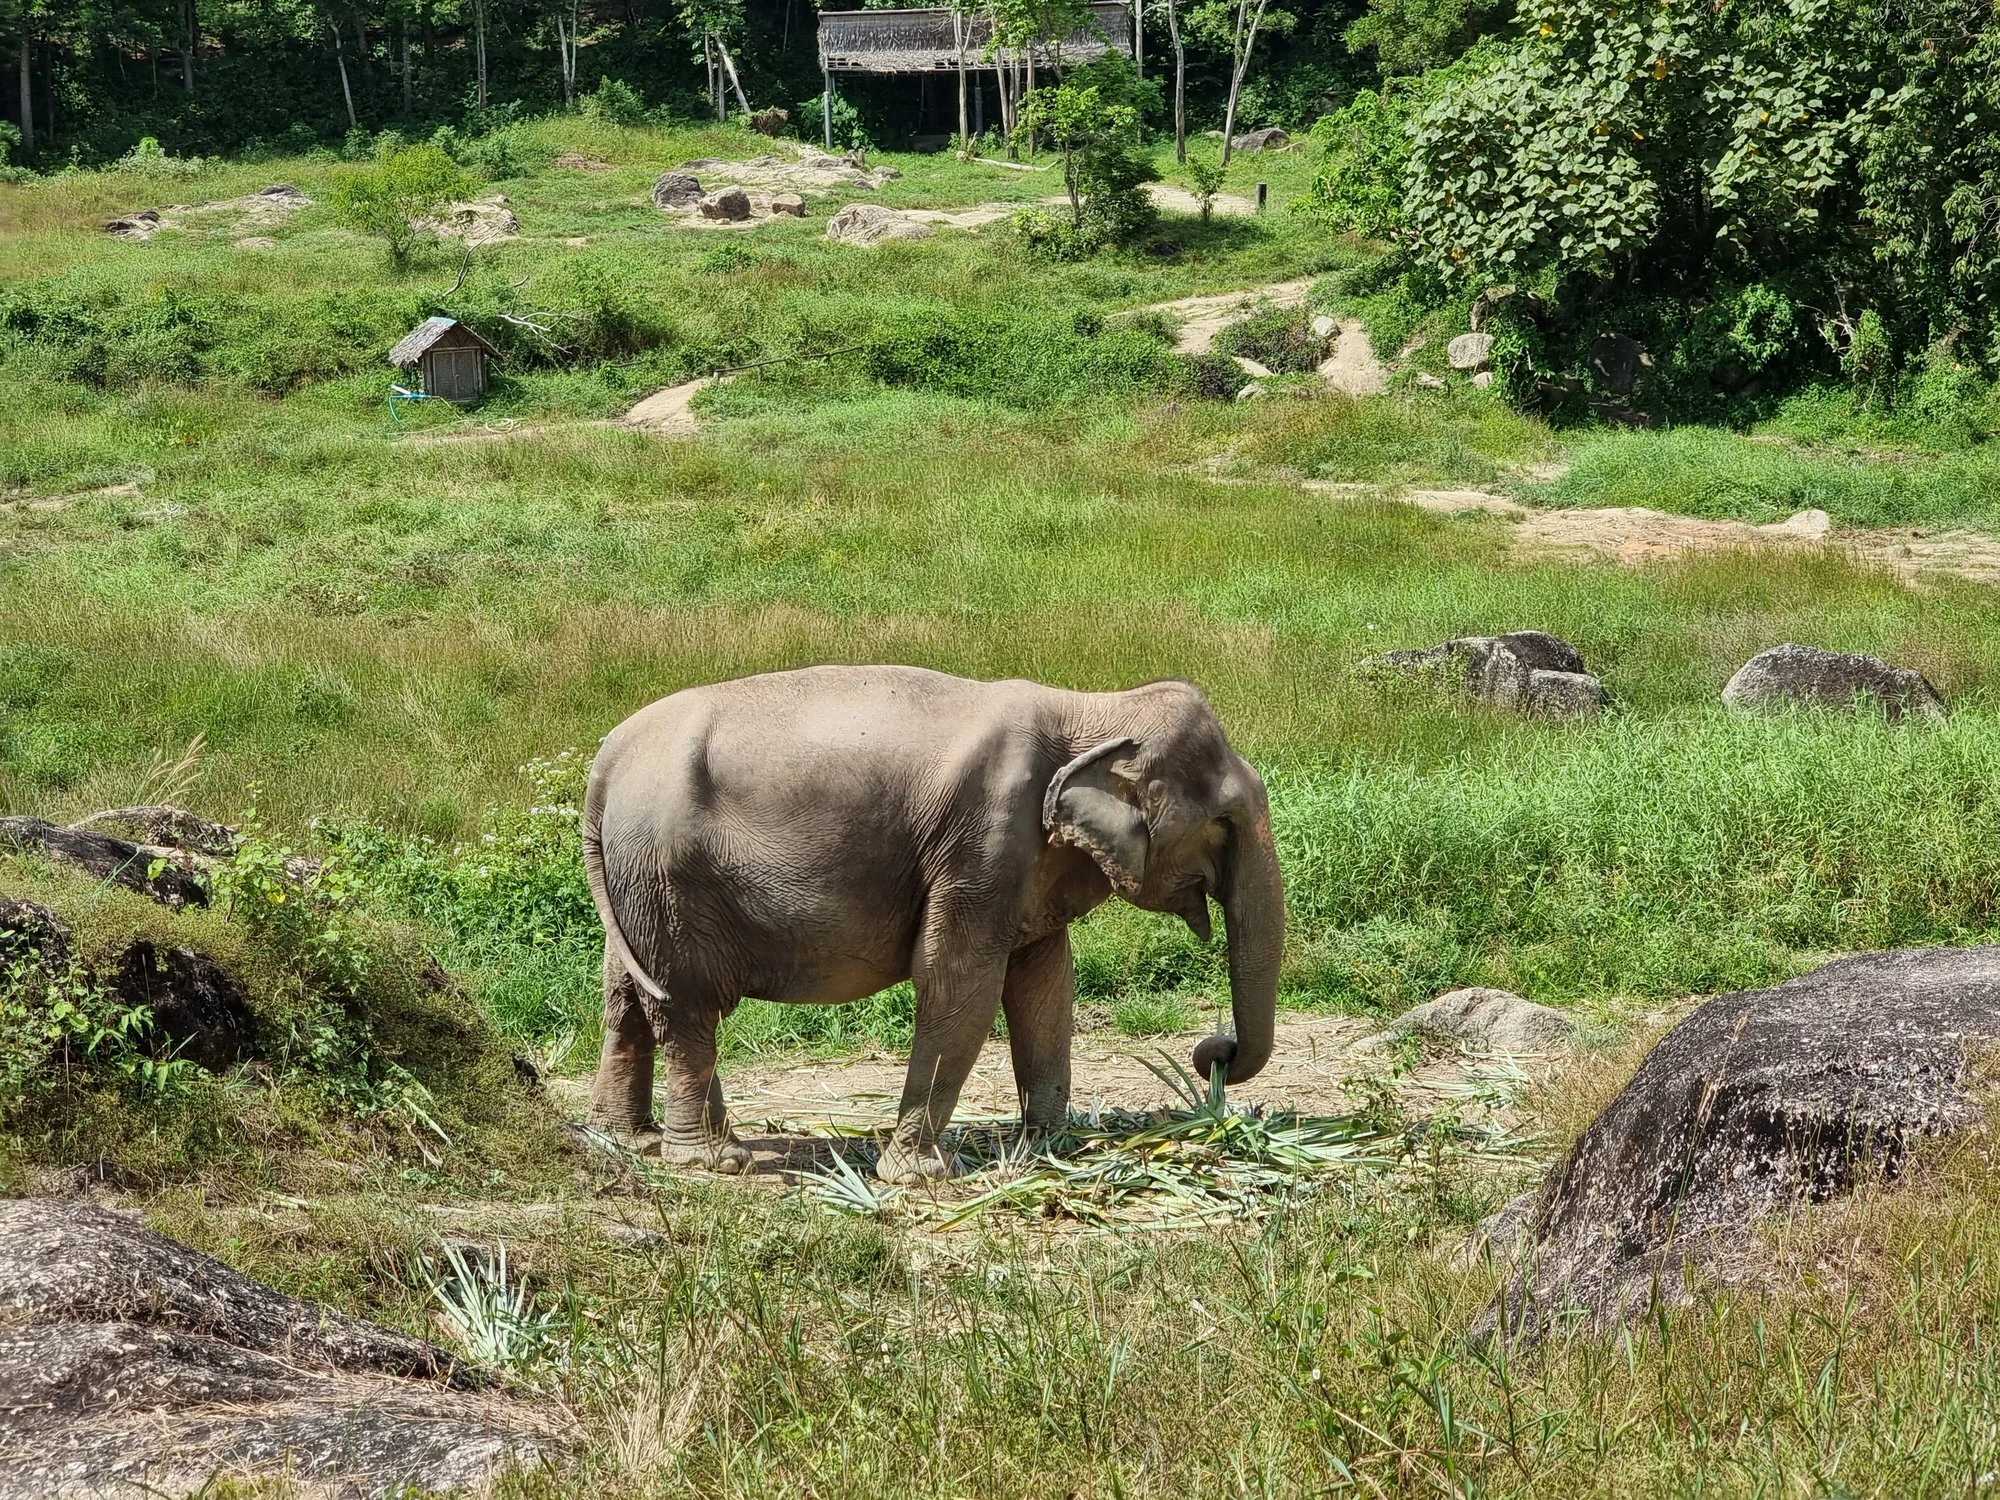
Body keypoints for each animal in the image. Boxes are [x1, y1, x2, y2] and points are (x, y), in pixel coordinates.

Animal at [582, 665, 1284, 1184]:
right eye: (1223, 820)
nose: (1212, 1053)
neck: (1091, 708)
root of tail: (607, 759)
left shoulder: (1031, 861)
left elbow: (1045, 983)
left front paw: (1057, 1148)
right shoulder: (983, 839)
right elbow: (958, 982)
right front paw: (917, 1175)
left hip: (634, 882)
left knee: (626, 997)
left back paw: (629, 1140)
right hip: (667, 878)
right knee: (687, 1006)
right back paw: (712, 1160)